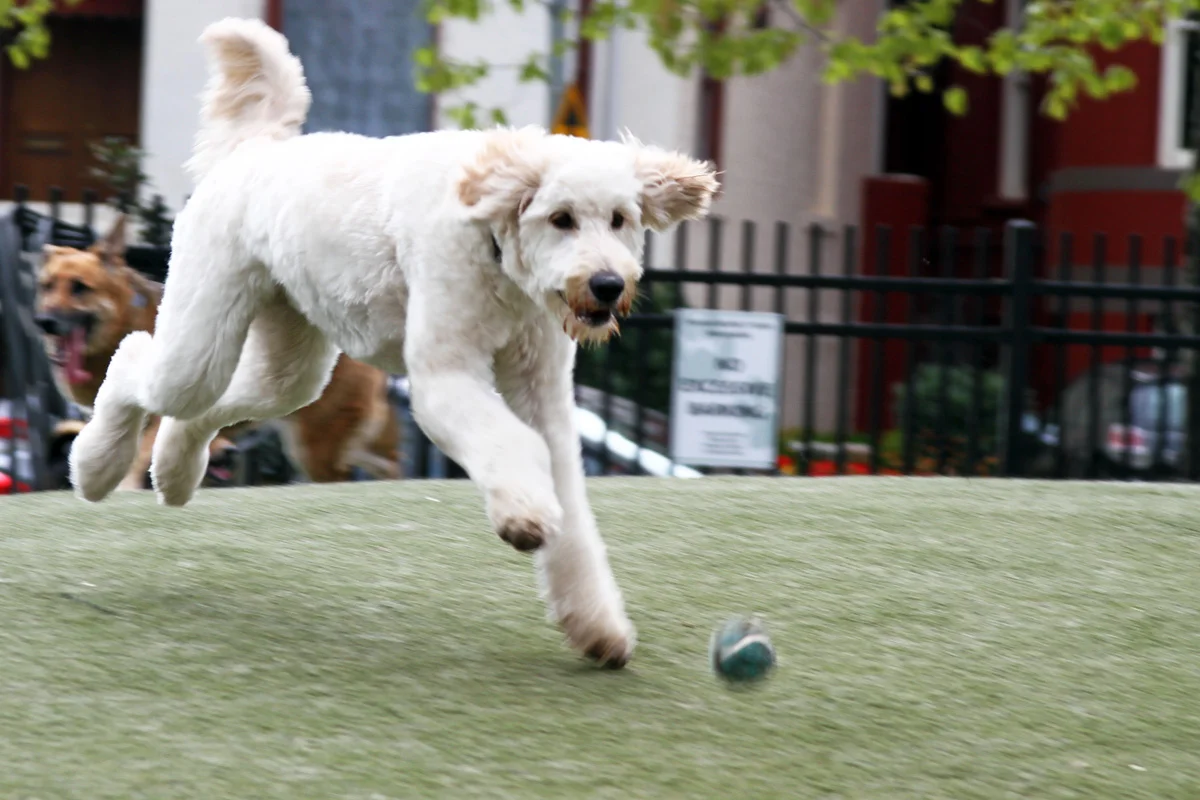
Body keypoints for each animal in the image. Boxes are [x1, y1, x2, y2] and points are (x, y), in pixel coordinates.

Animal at [68, 18, 720, 671]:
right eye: (560, 218)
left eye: (619, 219)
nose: (609, 285)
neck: (492, 239)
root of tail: (254, 148)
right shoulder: (443, 375)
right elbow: (511, 448)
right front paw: (525, 515)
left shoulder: (544, 399)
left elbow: (572, 511)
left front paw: (596, 625)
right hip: (202, 338)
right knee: (132, 361)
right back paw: (96, 468)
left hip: (288, 369)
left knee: (204, 411)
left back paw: (173, 473)